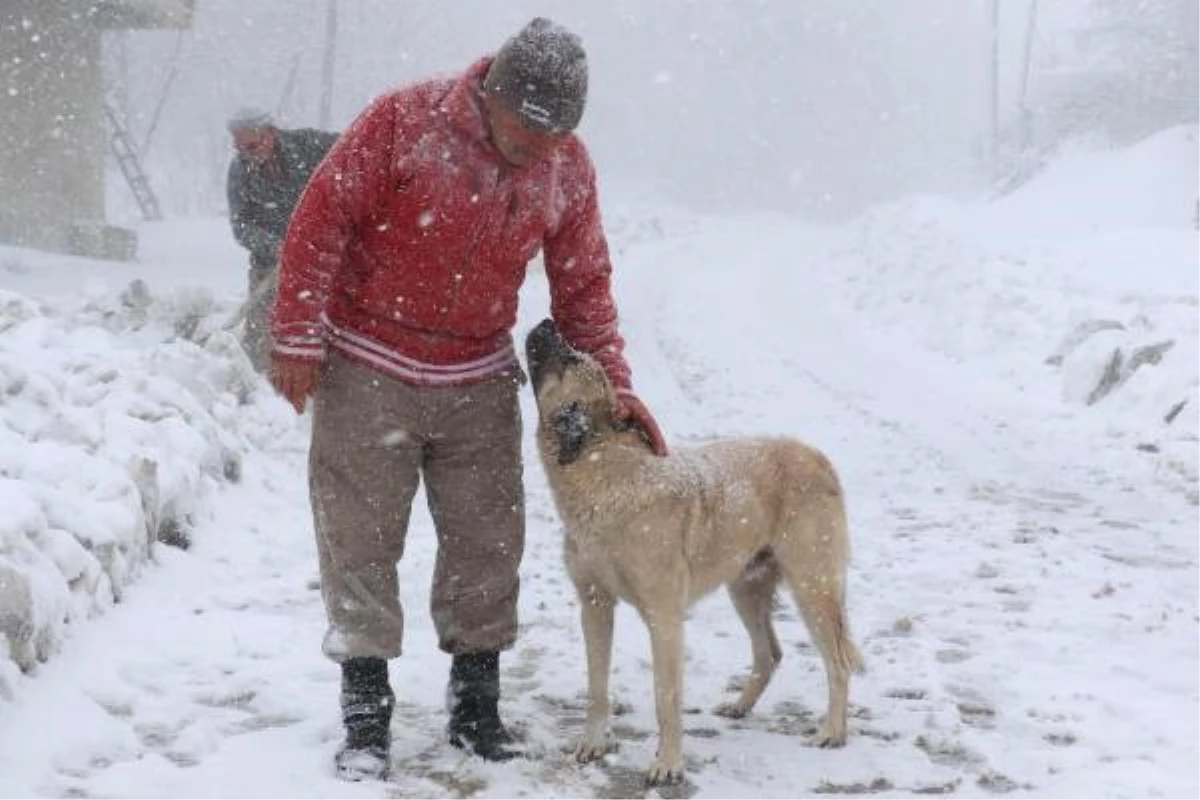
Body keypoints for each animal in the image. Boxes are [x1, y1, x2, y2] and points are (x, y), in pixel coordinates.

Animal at [525, 321, 864, 786]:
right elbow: (596, 685)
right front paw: (593, 743)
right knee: (770, 653)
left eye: (570, 360)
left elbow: (666, 695)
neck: (604, 471)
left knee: (837, 660)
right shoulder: (594, 603)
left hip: (813, 586)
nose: (545, 323)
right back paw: (740, 705)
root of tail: (815, 454)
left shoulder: (664, 616)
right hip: (747, 586)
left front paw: (667, 764)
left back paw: (832, 731)